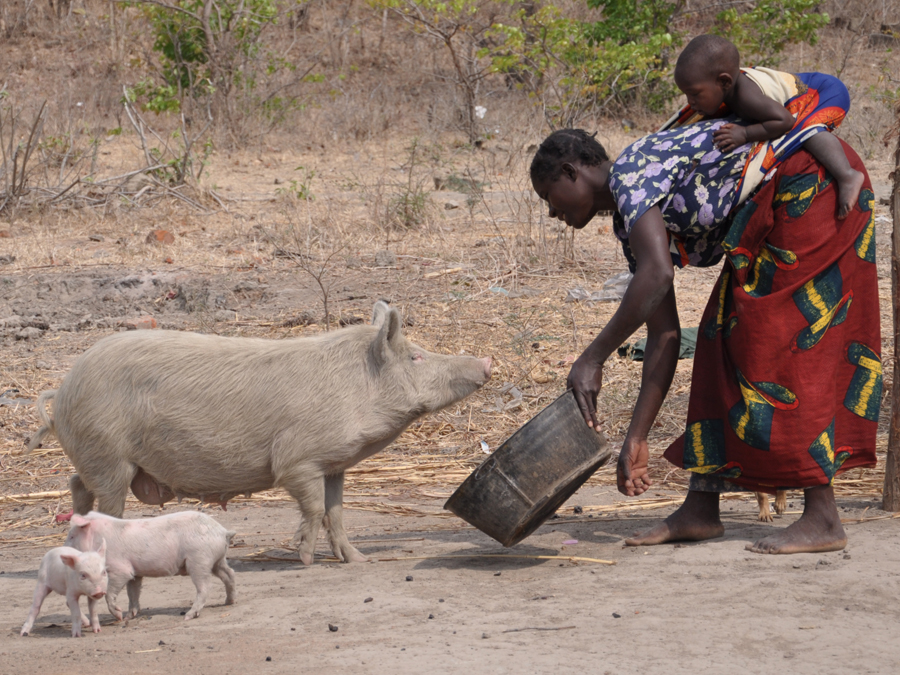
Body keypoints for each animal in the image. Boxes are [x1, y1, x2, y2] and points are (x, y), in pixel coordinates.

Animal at [28, 302, 488, 564]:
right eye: (416, 356)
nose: (484, 363)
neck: (355, 388)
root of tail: (63, 388)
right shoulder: (297, 460)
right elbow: (314, 508)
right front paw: (304, 557)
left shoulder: (333, 464)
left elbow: (337, 511)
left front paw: (356, 560)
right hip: (109, 455)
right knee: (105, 504)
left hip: (99, 460)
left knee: (77, 484)